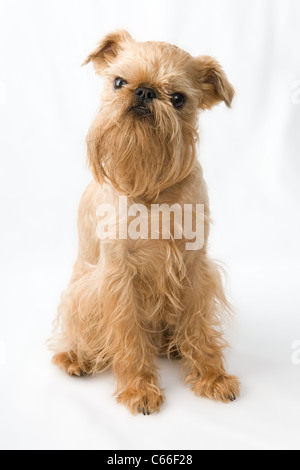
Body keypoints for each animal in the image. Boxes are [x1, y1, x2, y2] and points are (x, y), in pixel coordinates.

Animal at [50, 29, 240, 414]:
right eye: (119, 82)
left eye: (179, 99)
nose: (144, 91)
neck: (152, 191)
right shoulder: (118, 275)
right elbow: (128, 336)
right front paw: (138, 388)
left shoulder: (194, 267)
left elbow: (199, 326)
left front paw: (212, 376)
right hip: (81, 294)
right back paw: (76, 358)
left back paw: (175, 347)